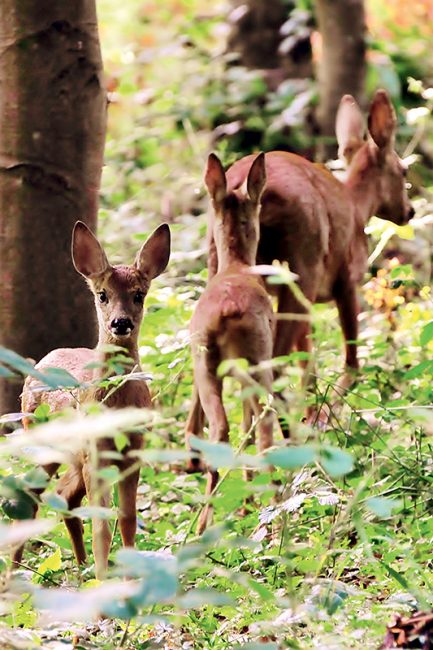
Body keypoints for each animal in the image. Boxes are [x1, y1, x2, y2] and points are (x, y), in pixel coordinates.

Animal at [13, 220, 169, 576]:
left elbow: (127, 519)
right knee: (29, 493)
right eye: (102, 295)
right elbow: (101, 526)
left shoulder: (133, 452)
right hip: (44, 439)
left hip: (74, 453)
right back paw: (15, 571)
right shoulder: (97, 452)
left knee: (63, 493)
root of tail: (37, 364)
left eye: (139, 295)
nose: (120, 323)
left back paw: (80, 566)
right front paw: (105, 582)